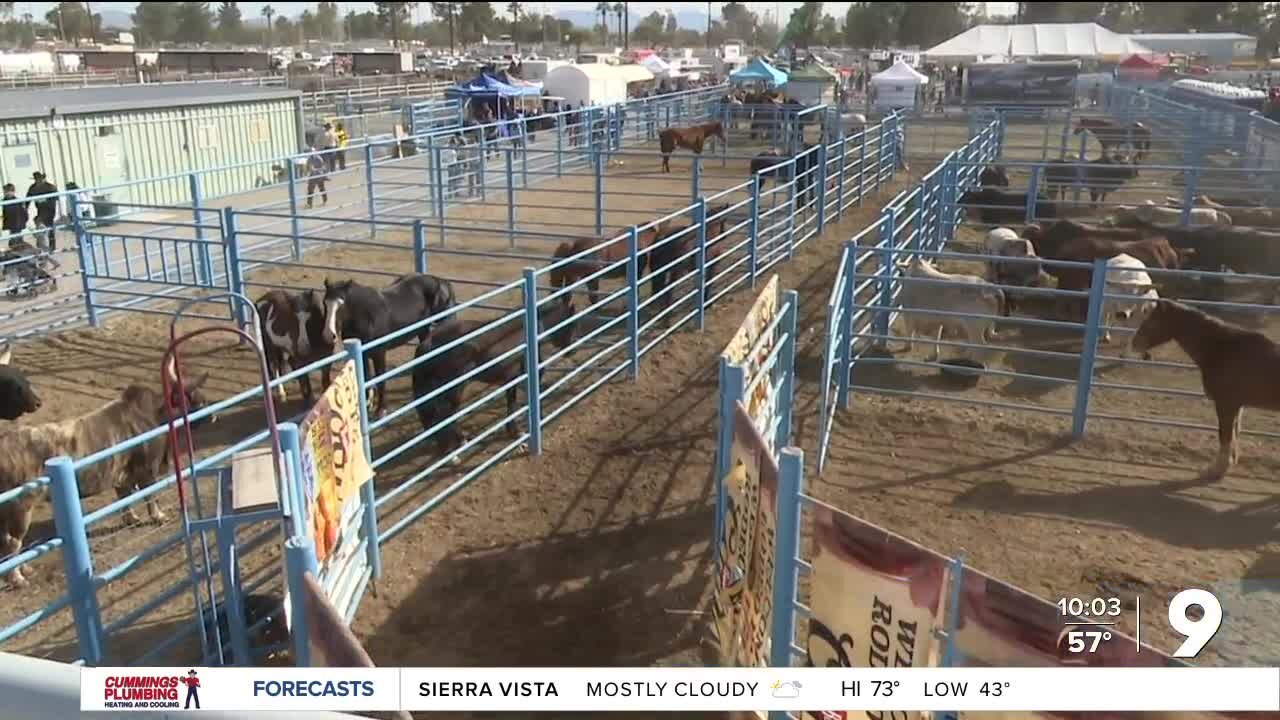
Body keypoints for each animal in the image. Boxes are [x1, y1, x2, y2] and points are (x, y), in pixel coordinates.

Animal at [0, 361, 209, 586]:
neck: (151, 414)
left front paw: (132, 518)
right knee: (12, 542)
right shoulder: (147, 470)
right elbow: (150, 496)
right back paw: (18, 577)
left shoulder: (122, 476)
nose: (211, 414)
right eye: (191, 395)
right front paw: (158, 516)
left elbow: (125, 498)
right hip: (21, 508)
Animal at [322, 272, 458, 417]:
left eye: (341, 304)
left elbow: (381, 379)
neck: (367, 315)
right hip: (423, 330)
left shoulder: (379, 354)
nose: (329, 335)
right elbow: (365, 377)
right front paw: (367, 405)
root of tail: (441, 282)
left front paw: (381, 409)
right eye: (325, 303)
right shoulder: (363, 355)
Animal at [409, 289, 581, 453]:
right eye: (572, 322)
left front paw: (513, 431)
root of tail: (428, 342)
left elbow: (511, 402)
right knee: (446, 414)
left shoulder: (511, 378)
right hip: (454, 387)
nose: (572, 350)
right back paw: (459, 444)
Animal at [1131, 294, 1280, 479]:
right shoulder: (1237, 405)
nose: (1134, 343)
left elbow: (1225, 434)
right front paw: (1229, 462)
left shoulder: (1226, 404)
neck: (1221, 348)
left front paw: (1217, 468)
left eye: (1153, 321)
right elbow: (1234, 432)